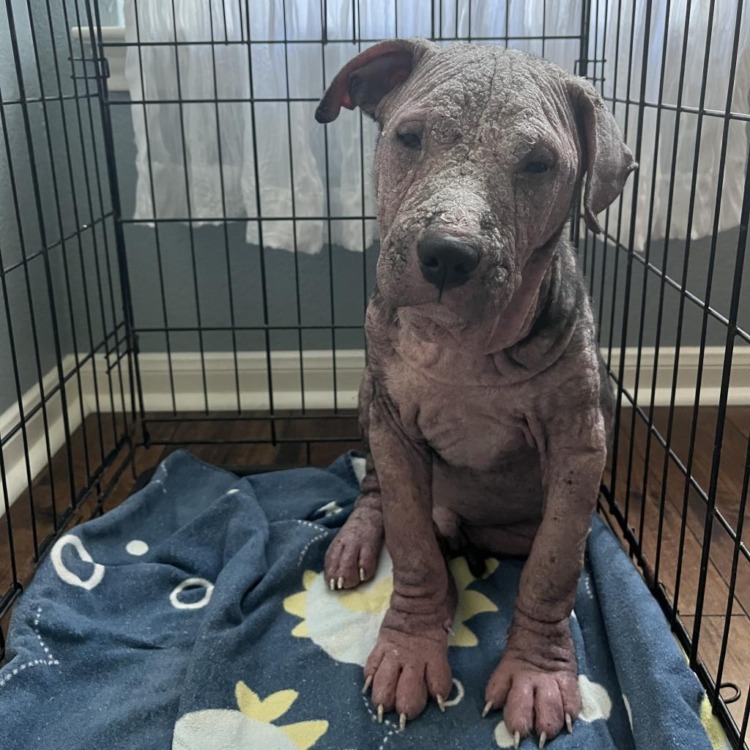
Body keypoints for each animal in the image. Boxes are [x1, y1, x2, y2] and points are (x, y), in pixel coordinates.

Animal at [314, 38, 636, 748]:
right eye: (410, 138)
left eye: (539, 164)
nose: (446, 255)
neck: (464, 348)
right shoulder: (394, 426)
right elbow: (411, 546)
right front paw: (409, 652)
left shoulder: (578, 447)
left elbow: (552, 569)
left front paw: (537, 676)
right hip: (367, 399)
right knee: (381, 496)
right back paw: (359, 543)